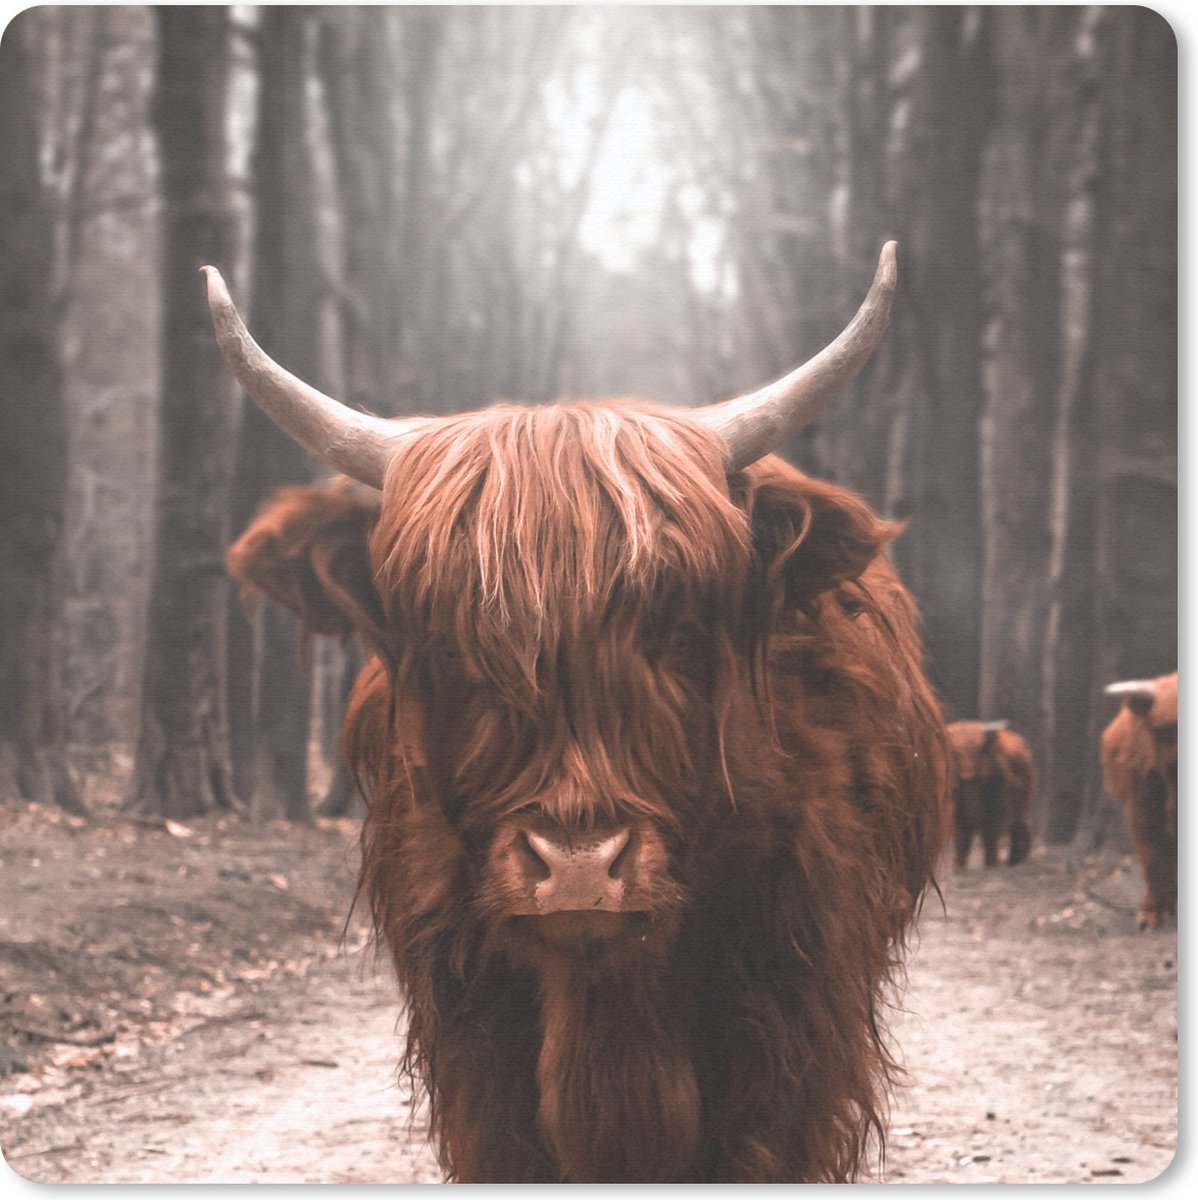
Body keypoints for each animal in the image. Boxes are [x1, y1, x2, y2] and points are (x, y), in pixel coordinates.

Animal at [946, 720, 1034, 869]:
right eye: (956, 752)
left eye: (979, 751)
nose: (967, 776)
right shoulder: (957, 814)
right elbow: (962, 839)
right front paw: (958, 867)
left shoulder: (998, 809)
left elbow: (990, 835)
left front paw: (990, 863)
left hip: (1023, 804)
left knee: (1021, 827)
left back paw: (1017, 860)